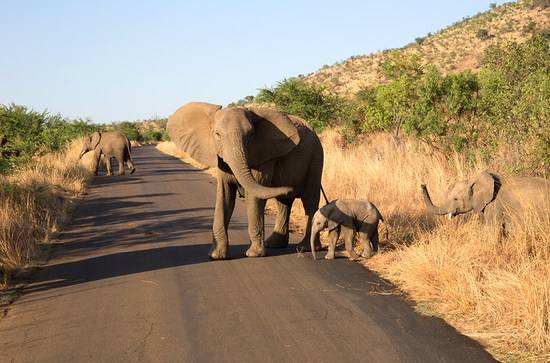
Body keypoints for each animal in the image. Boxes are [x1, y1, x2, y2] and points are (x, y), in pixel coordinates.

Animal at [166, 102, 326, 260]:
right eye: (217, 134)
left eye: (251, 134)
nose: (289, 187)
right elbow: (225, 195)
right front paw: (217, 255)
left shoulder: (263, 154)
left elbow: (253, 197)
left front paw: (254, 254)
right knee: (284, 203)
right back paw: (273, 244)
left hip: (316, 157)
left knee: (309, 201)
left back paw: (306, 248)